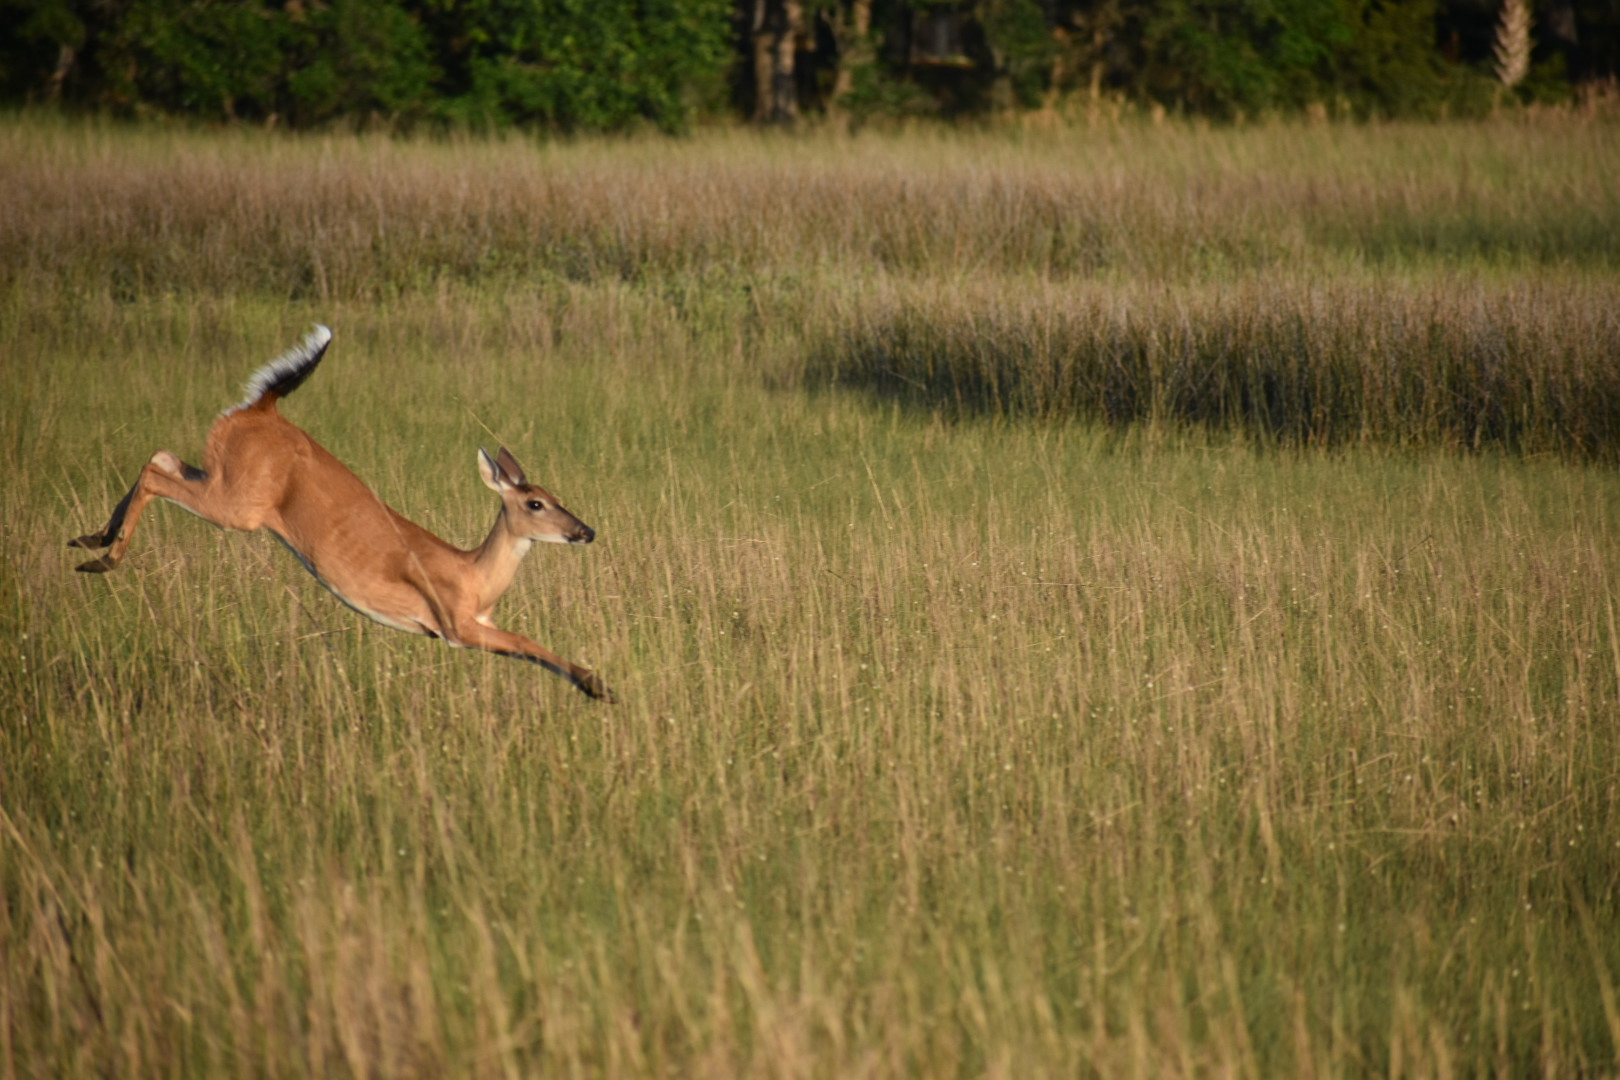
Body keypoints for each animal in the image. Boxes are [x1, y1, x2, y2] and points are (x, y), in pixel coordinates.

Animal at [69, 324, 615, 702]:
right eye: (534, 503)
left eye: (555, 494)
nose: (586, 530)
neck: (473, 577)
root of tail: (264, 407)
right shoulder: (454, 625)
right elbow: (525, 640)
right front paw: (599, 686)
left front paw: (595, 686)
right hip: (238, 507)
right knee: (156, 473)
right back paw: (101, 559)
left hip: (222, 478)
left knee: (159, 456)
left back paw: (90, 540)